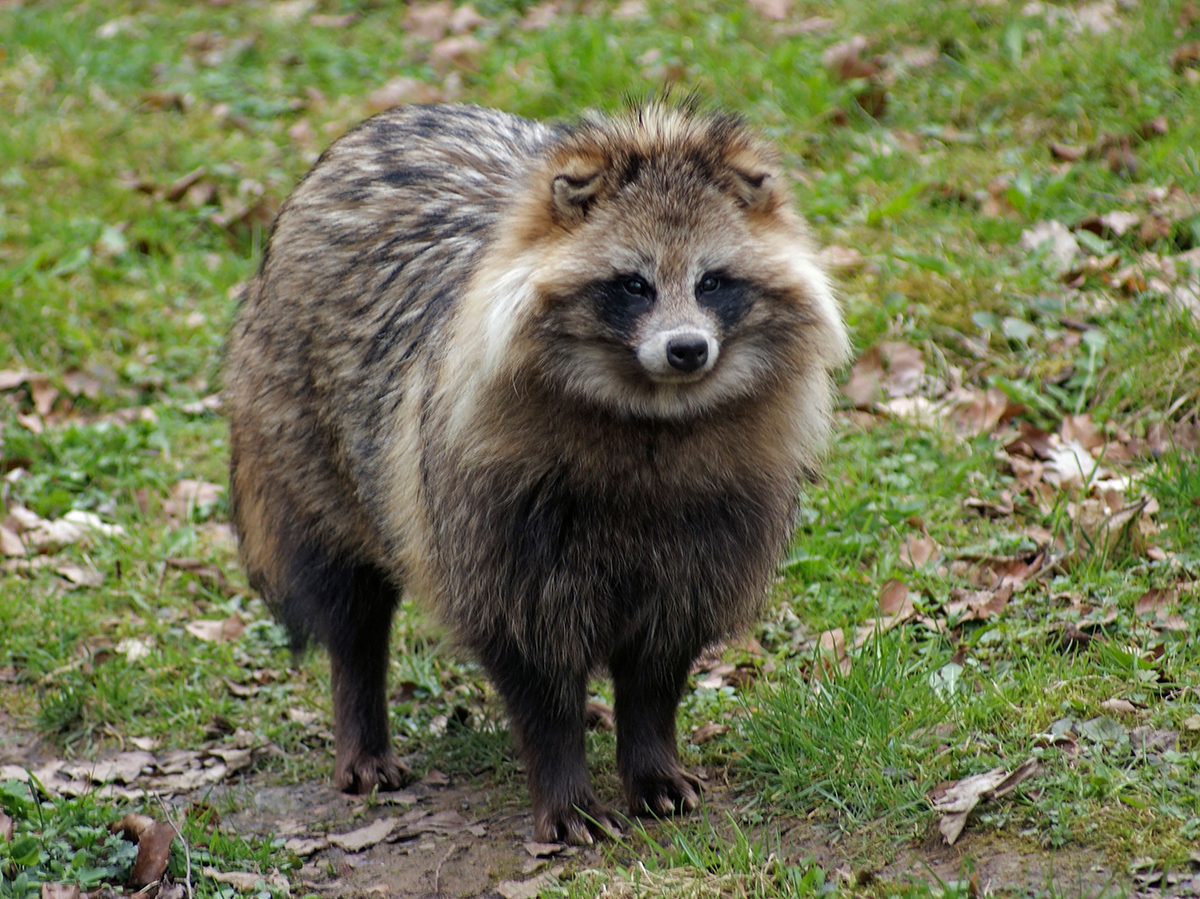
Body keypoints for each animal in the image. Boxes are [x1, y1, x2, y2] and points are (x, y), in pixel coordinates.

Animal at [223, 100, 844, 840]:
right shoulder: (493, 513)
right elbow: (531, 659)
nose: (687, 349)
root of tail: (386, 120)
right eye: (633, 286)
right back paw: (361, 716)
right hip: (303, 438)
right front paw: (564, 782)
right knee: (349, 602)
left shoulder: (716, 523)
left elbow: (658, 661)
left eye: (712, 281)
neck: (652, 413)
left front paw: (649, 757)